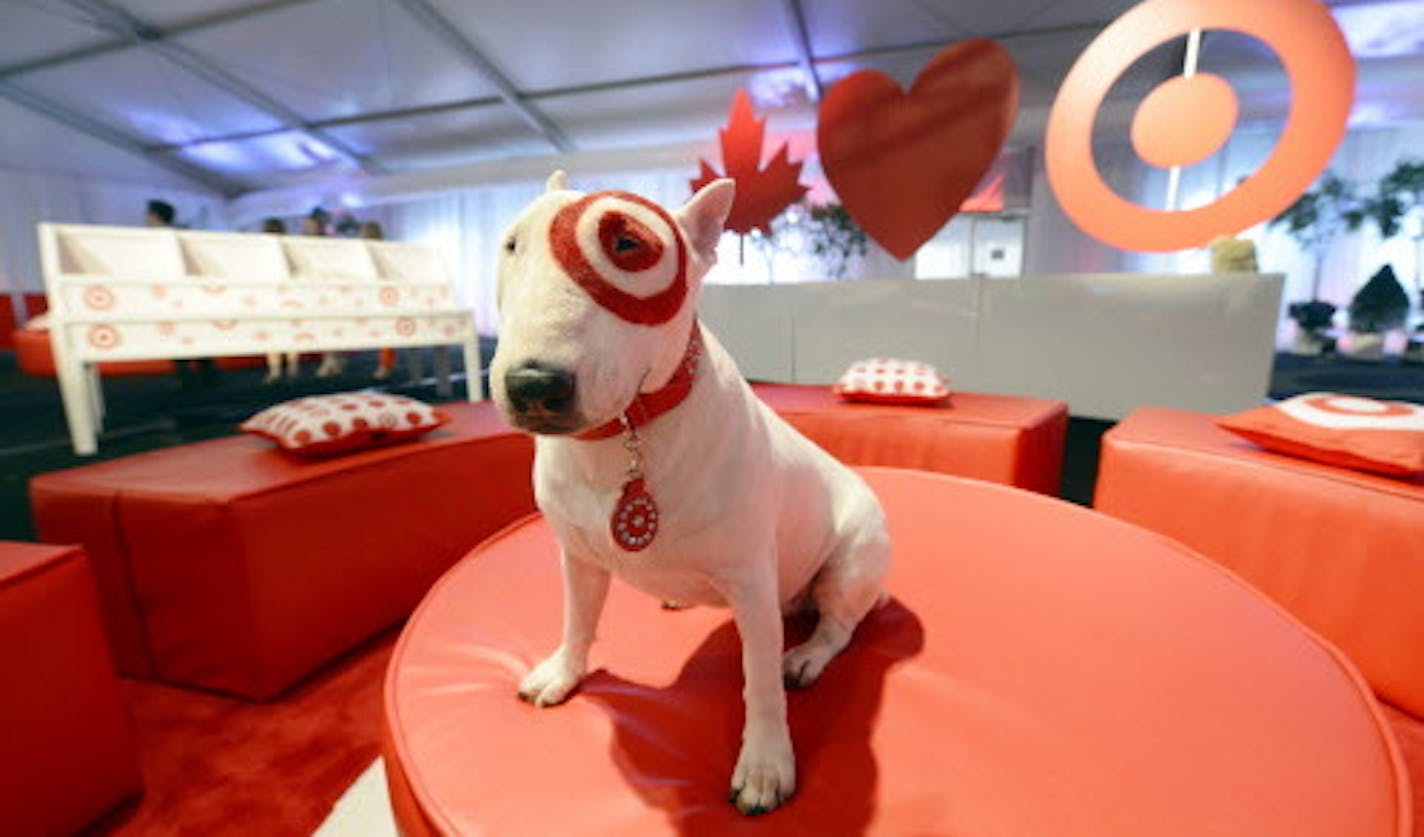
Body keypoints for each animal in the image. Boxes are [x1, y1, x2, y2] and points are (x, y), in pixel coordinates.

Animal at [492, 171, 888, 819]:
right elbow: (578, 619)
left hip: (852, 561)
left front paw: (764, 765)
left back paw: (805, 655)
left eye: (628, 245)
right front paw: (563, 673)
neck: (626, 432)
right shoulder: (576, 557)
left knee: (837, 627)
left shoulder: (751, 581)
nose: (532, 386)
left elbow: (758, 678)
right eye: (510, 245)